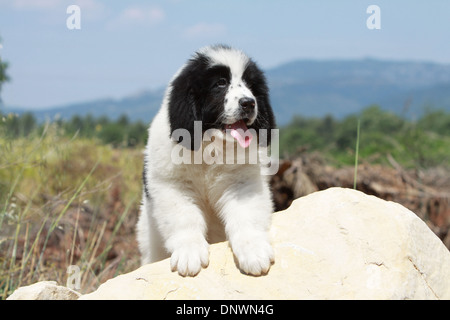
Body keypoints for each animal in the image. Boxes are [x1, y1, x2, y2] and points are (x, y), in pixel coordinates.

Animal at [137, 45, 276, 278]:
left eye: (250, 85)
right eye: (220, 83)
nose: (248, 102)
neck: (211, 145)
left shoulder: (242, 182)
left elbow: (246, 214)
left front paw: (254, 250)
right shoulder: (172, 185)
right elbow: (185, 217)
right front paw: (189, 253)